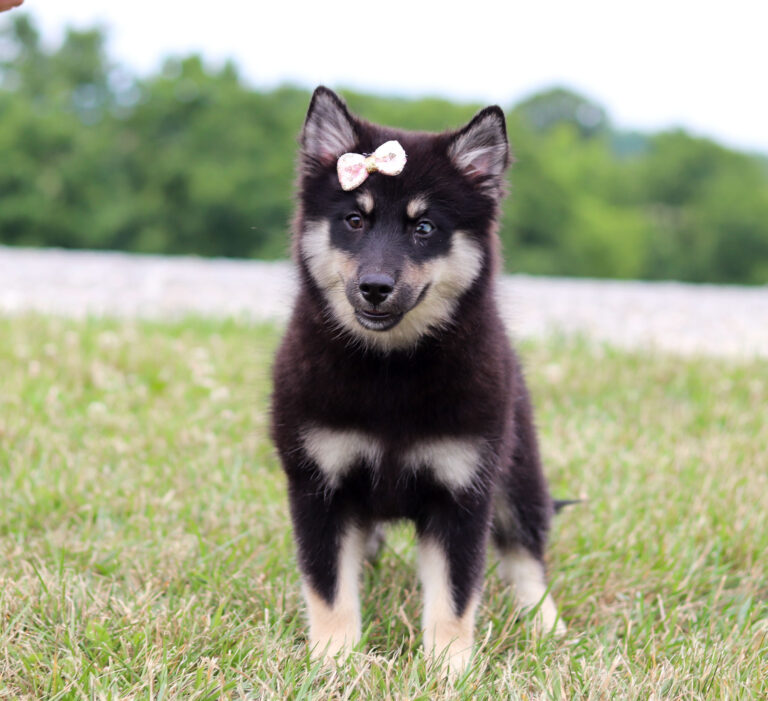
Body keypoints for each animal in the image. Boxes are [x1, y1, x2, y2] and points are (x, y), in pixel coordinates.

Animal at [270, 87, 564, 672]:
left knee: (525, 557)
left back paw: (546, 625)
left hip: (518, 475)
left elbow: (453, 596)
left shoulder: (462, 492)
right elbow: (330, 588)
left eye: (423, 228)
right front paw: (334, 662)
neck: (390, 370)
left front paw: (449, 670)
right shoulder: (319, 486)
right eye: (354, 220)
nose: (375, 287)